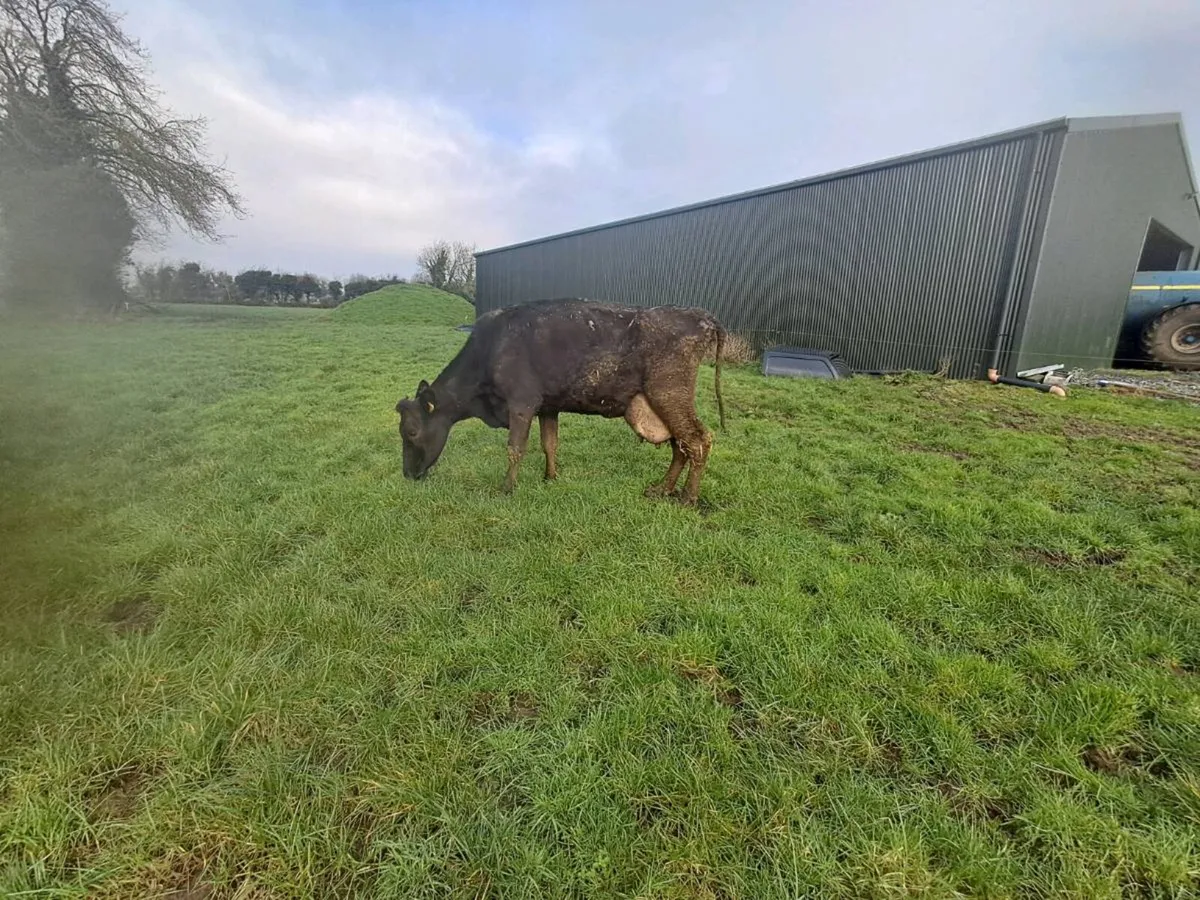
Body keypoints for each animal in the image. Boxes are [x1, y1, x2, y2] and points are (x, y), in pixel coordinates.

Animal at [395, 298, 728, 506]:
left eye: (411, 432)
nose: (407, 475)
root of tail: (701, 315)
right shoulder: (548, 406)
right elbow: (549, 443)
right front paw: (550, 477)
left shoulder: (521, 403)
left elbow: (515, 449)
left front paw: (506, 489)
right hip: (658, 402)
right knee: (679, 445)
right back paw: (662, 489)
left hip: (669, 392)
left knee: (698, 440)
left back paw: (687, 498)